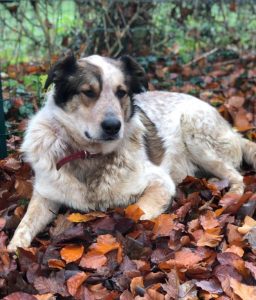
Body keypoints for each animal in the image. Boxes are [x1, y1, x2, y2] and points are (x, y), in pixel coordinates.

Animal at [7, 53, 255, 251]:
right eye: (88, 92)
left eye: (121, 92)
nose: (113, 126)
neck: (89, 155)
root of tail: (232, 130)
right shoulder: (45, 195)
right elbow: (24, 225)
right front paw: (12, 250)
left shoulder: (160, 182)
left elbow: (137, 213)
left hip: (195, 133)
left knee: (236, 175)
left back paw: (231, 195)